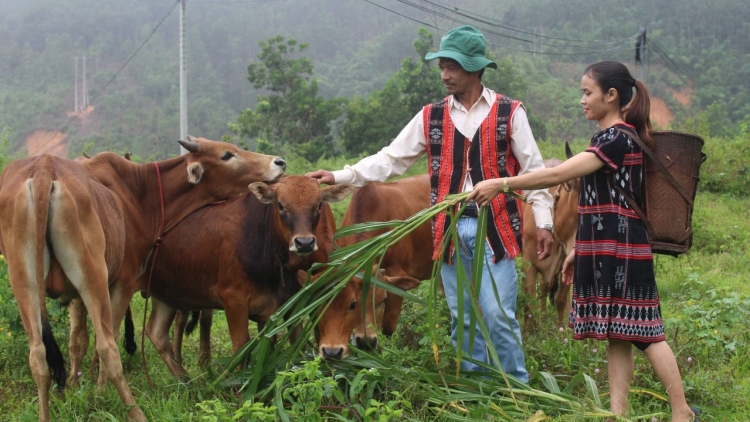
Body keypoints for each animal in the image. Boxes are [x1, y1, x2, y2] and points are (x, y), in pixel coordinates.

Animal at [0, 137, 284, 420]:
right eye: (226, 155)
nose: (278, 162)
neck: (137, 192)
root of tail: (44, 170)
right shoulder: (122, 282)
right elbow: (106, 342)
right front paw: (98, 394)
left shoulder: (79, 295)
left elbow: (78, 342)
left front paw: (75, 388)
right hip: (92, 278)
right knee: (108, 347)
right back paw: (134, 410)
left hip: (25, 284)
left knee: (38, 356)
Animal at [141, 175, 352, 380]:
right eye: (280, 205)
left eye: (318, 205)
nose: (305, 243)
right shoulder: (234, 300)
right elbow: (242, 348)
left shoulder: (283, 304)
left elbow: (287, 341)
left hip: (165, 293)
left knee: (157, 332)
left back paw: (184, 380)